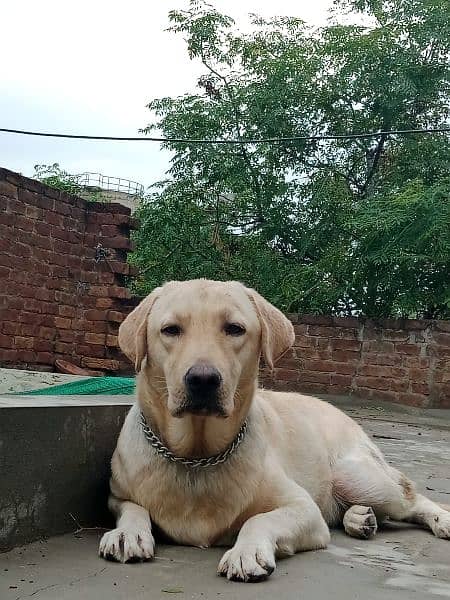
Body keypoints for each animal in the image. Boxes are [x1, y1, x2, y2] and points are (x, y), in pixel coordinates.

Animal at [100, 280, 450, 580]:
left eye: (235, 329)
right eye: (170, 330)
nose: (202, 379)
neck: (196, 457)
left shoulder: (304, 509)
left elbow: (259, 519)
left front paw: (246, 552)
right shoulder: (117, 495)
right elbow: (133, 508)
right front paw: (127, 532)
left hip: (357, 476)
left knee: (413, 499)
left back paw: (439, 519)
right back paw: (359, 518)